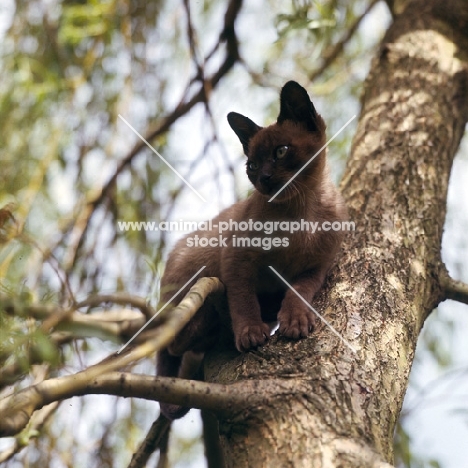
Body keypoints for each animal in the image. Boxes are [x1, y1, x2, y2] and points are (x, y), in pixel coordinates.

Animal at [157, 78, 348, 418]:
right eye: (253, 165)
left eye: (281, 151)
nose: (265, 178)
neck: (301, 212)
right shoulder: (238, 258)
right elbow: (243, 298)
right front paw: (249, 333)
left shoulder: (317, 267)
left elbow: (299, 291)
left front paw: (295, 321)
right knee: (175, 342)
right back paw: (218, 320)